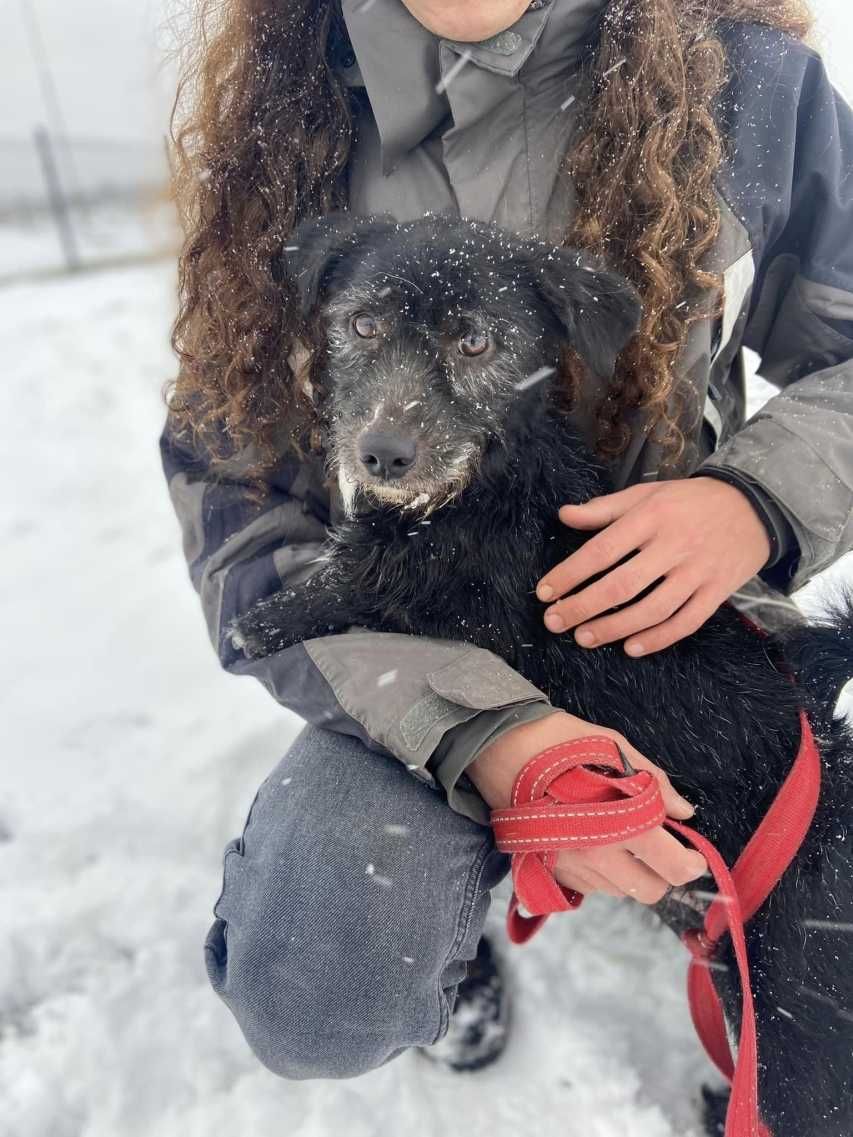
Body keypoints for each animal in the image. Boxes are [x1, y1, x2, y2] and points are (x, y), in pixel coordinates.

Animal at [234, 214, 853, 1137]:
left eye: (476, 341)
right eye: (363, 324)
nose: (382, 454)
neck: (489, 479)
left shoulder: (450, 597)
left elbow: (357, 589)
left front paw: (265, 619)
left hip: (796, 1049)